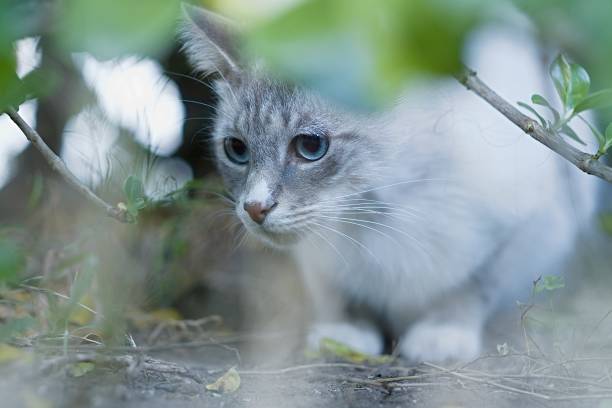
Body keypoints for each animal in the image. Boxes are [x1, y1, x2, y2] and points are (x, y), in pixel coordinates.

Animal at [179, 3, 600, 360]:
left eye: (310, 146)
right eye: (236, 149)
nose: (254, 208)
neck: (378, 215)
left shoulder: (524, 226)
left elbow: (472, 285)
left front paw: (443, 334)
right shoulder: (319, 258)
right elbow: (339, 293)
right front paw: (344, 335)